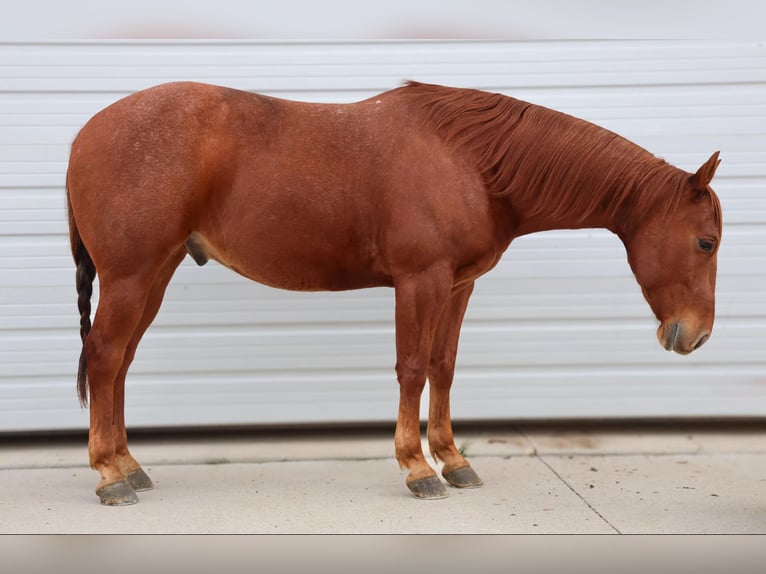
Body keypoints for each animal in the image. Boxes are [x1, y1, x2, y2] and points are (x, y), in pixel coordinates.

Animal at [67, 82, 728, 508]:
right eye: (706, 241)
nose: (695, 336)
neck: (472, 162)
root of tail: (87, 132)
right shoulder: (420, 280)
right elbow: (411, 368)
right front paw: (417, 468)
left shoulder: (458, 284)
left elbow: (443, 366)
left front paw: (454, 461)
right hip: (132, 276)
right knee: (104, 357)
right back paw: (108, 476)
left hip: (155, 273)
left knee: (118, 363)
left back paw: (129, 465)